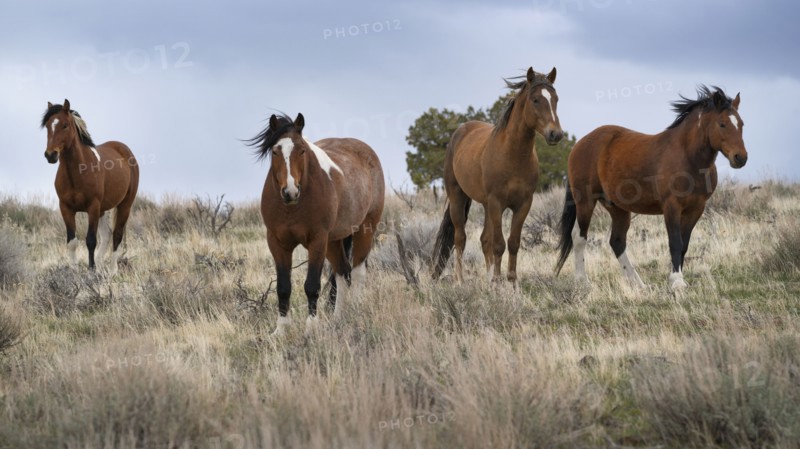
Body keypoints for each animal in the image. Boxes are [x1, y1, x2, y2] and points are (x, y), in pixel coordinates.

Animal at [40, 100, 140, 272]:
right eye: (47, 126)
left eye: (65, 125)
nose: (50, 155)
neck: (78, 172)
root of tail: (125, 150)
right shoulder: (66, 208)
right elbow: (72, 242)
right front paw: (74, 271)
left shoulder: (93, 207)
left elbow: (91, 240)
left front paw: (91, 270)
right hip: (103, 210)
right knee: (107, 235)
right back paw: (101, 265)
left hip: (124, 206)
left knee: (117, 235)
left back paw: (112, 271)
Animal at [247, 113, 385, 336]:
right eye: (275, 151)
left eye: (302, 150)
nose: (290, 191)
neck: (293, 207)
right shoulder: (277, 243)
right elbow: (283, 287)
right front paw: (281, 330)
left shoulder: (317, 241)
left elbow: (311, 285)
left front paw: (311, 328)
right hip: (333, 242)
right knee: (342, 272)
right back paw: (339, 318)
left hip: (364, 230)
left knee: (357, 273)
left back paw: (356, 313)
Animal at [432, 67, 563, 282]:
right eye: (536, 99)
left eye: (555, 99)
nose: (556, 134)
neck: (513, 155)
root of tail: (459, 131)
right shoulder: (497, 202)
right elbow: (499, 244)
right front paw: (497, 282)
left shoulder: (523, 204)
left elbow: (513, 243)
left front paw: (510, 282)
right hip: (458, 197)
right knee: (460, 238)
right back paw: (460, 280)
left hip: (486, 205)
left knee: (484, 239)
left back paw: (486, 279)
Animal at [554, 86, 748, 291]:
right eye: (722, 124)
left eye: (741, 124)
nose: (740, 158)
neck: (688, 158)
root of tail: (579, 144)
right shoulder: (671, 206)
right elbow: (675, 242)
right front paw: (676, 282)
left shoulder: (696, 209)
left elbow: (684, 245)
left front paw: (678, 279)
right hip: (585, 201)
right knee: (579, 237)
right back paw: (583, 282)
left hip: (617, 208)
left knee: (617, 242)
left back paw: (639, 284)